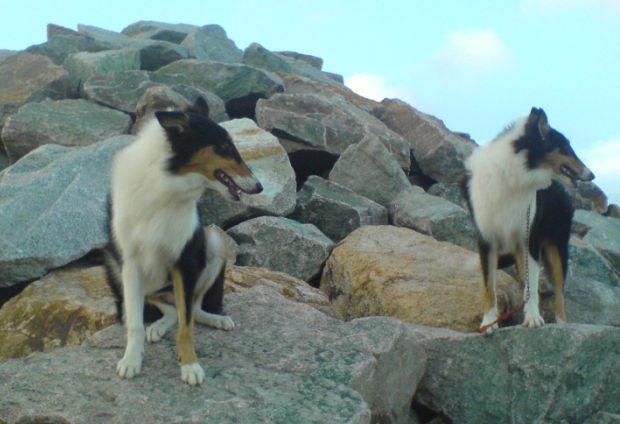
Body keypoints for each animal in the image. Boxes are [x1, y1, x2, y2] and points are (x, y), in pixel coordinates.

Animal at [105, 97, 262, 385]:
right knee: (164, 306)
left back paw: (214, 319)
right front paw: (131, 360)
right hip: (113, 263)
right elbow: (134, 321)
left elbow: (186, 324)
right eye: (224, 147)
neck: (163, 184)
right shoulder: (130, 262)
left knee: (190, 309)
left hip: (214, 241)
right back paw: (156, 327)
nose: (259, 187)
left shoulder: (185, 261)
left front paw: (190, 365)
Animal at [462, 107, 594, 333]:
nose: (592, 175)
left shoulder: (529, 239)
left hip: (556, 248)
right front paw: (488, 322)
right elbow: (489, 287)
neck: (512, 176)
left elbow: (532, 286)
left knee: (558, 291)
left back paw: (562, 324)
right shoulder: (487, 240)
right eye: (565, 148)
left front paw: (533, 318)